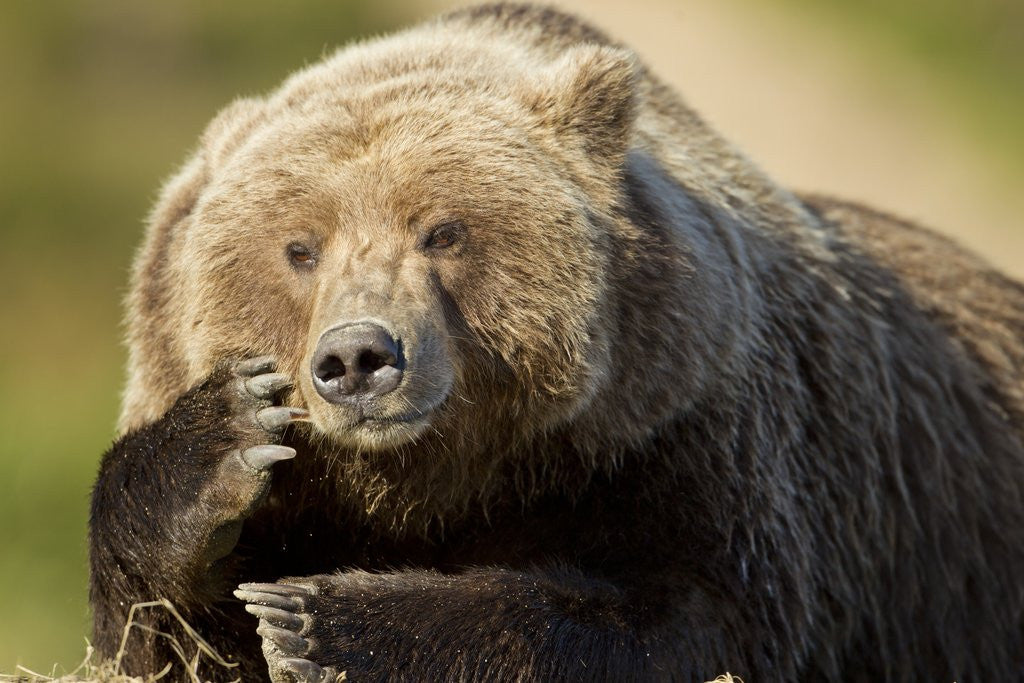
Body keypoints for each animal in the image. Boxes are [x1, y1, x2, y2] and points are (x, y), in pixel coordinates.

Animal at [88, 3, 1024, 681]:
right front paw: (225, 442)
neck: (435, 482)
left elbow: (690, 617)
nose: (357, 356)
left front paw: (315, 622)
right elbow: (157, 637)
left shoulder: (682, 430)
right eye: (299, 247)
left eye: (442, 230)